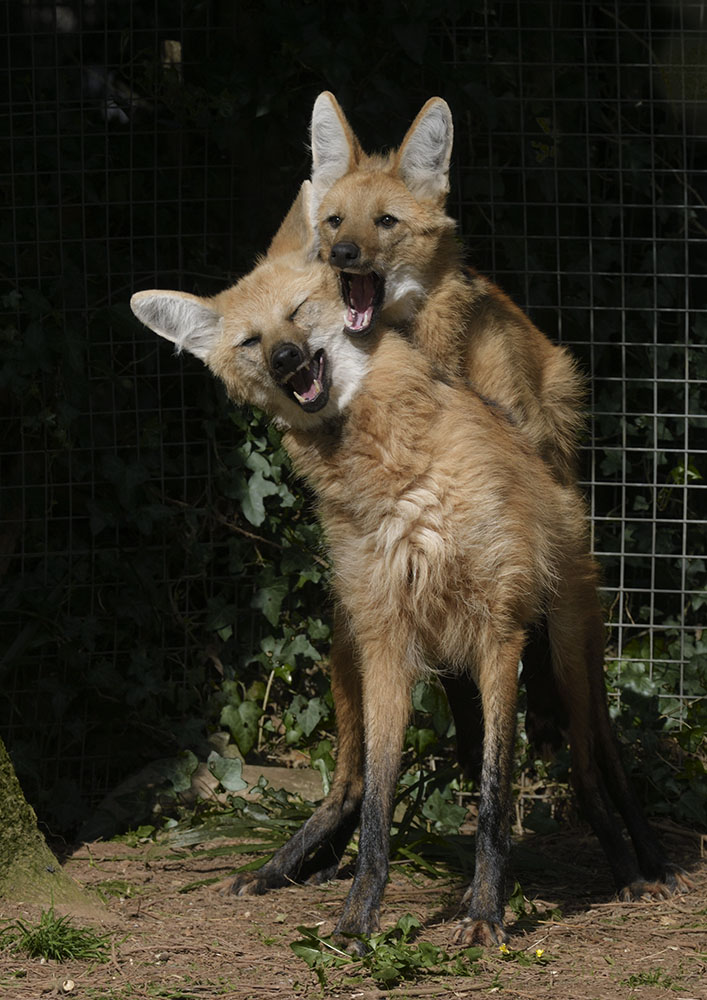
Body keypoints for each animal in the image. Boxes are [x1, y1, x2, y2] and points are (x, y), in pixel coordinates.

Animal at [131, 184, 682, 949]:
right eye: (248, 342)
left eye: (297, 313)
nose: (285, 358)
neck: (397, 481)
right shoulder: (387, 639)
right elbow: (380, 804)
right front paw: (357, 916)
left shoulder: (498, 631)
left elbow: (493, 795)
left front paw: (484, 914)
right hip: (349, 643)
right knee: (352, 780)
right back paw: (286, 865)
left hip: (570, 653)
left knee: (597, 766)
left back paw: (640, 866)